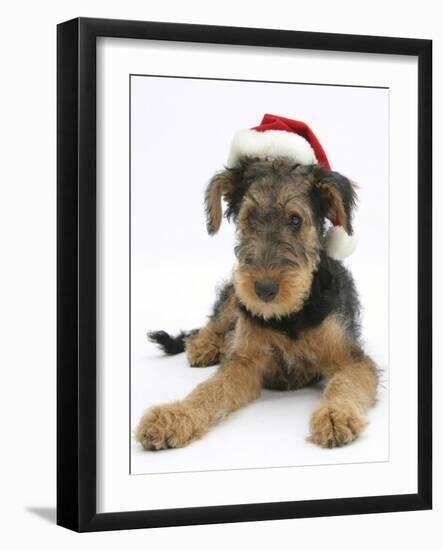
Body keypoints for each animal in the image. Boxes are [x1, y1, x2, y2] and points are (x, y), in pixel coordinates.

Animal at [135, 113, 378, 452]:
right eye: (249, 217)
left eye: (295, 219)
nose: (264, 290)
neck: (290, 316)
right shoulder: (245, 362)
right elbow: (210, 390)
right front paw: (173, 416)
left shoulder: (352, 359)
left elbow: (345, 385)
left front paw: (334, 416)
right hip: (233, 297)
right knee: (215, 321)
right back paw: (204, 346)